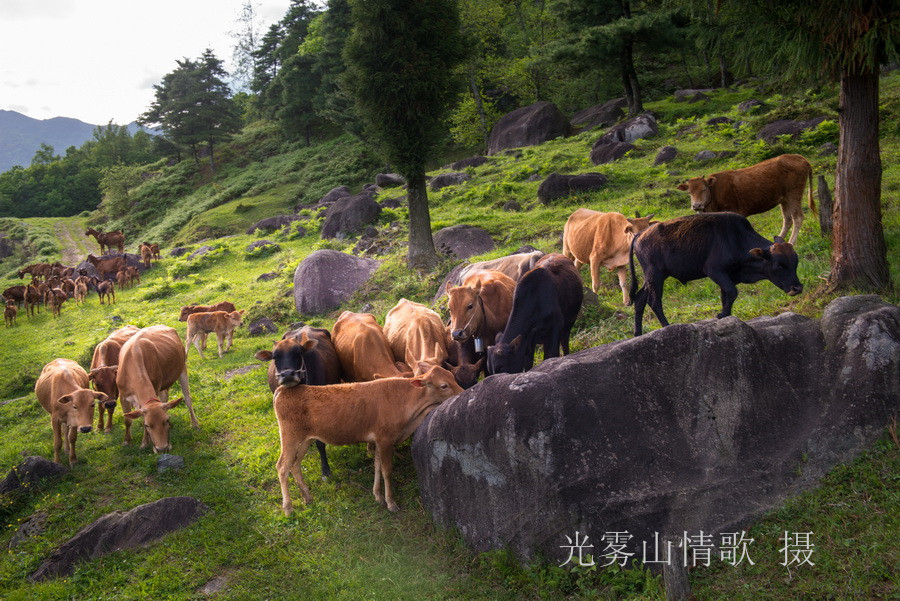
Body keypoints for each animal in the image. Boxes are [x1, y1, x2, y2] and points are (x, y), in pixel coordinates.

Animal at [274, 364, 460, 512]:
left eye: (453, 376)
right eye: (443, 386)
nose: (463, 391)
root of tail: (283, 390)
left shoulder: (377, 440)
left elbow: (377, 466)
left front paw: (377, 495)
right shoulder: (385, 440)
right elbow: (387, 470)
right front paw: (391, 502)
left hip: (305, 440)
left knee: (295, 465)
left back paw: (307, 496)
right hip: (290, 437)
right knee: (282, 466)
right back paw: (288, 508)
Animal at [628, 212, 804, 338]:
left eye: (795, 263)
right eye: (779, 265)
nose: (797, 288)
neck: (737, 239)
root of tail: (639, 235)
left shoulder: (727, 276)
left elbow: (726, 295)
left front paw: (726, 316)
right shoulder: (714, 270)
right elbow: (732, 292)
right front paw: (722, 315)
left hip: (654, 277)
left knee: (640, 299)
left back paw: (638, 332)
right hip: (655, 275)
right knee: (654, 301)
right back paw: (667, 326)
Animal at [676, 154, 816, 245]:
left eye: (704, 189)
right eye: (689, 192)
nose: (697, 205)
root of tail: (799, 157)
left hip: (794, 194)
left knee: (797, 217)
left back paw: (791, 243)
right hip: (784, 199)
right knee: (787, 219)